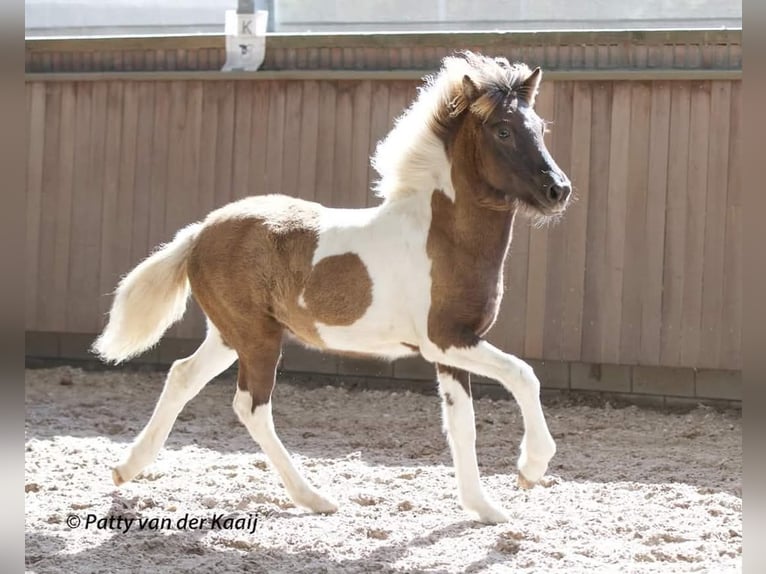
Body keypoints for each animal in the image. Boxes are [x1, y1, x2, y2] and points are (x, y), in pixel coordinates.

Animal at [93, 51, 572, 524]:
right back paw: (315, 499)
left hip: (232, 335)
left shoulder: (453, 349)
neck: (444, 237)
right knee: (251, 407)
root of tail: (199, 232)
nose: (558, 190)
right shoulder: (445, 339)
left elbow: (462, 425)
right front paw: (530, 468)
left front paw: (484, 508)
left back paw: (125, 469)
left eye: (540, 127)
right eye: (503, 130)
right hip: (257, 338)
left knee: (183, 375)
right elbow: (524, 375)